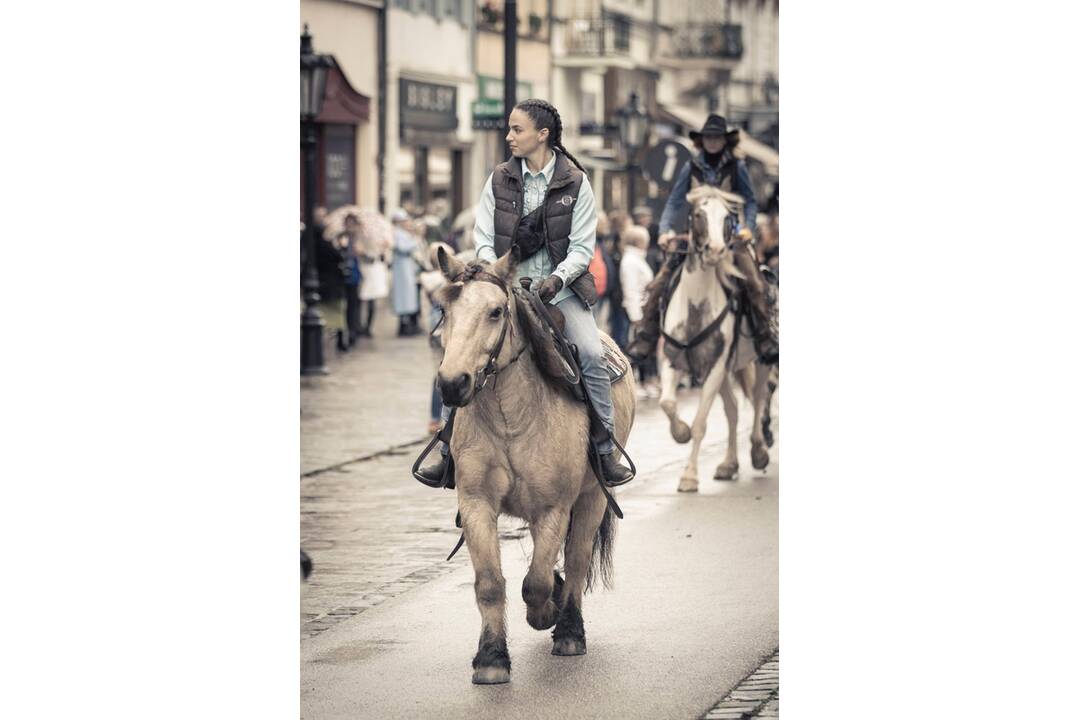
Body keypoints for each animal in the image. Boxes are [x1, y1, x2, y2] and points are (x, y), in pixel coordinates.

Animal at [429, 245, 635, 686]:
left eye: (495, 311)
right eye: (444, 308)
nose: (452, 384)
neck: (511, 414)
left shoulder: (553, 508)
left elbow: (537, 582)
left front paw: (545, 614)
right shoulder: (476, 504)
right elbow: (490, 584)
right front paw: (491, 658)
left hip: (592, 499)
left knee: (576, 560)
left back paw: (569, 629)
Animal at [652, 184, 773, 496]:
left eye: (728, 219)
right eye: (698, 214)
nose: (717, 250)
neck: (696, 303)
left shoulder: (716, 367)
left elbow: (700, 424)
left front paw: (689, 476)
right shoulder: (673, 360)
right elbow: (667, 403)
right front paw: (679, 432)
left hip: (758, 362)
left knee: (758, 400)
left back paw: (758, 451)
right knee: (733, 411)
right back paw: (728, 464)